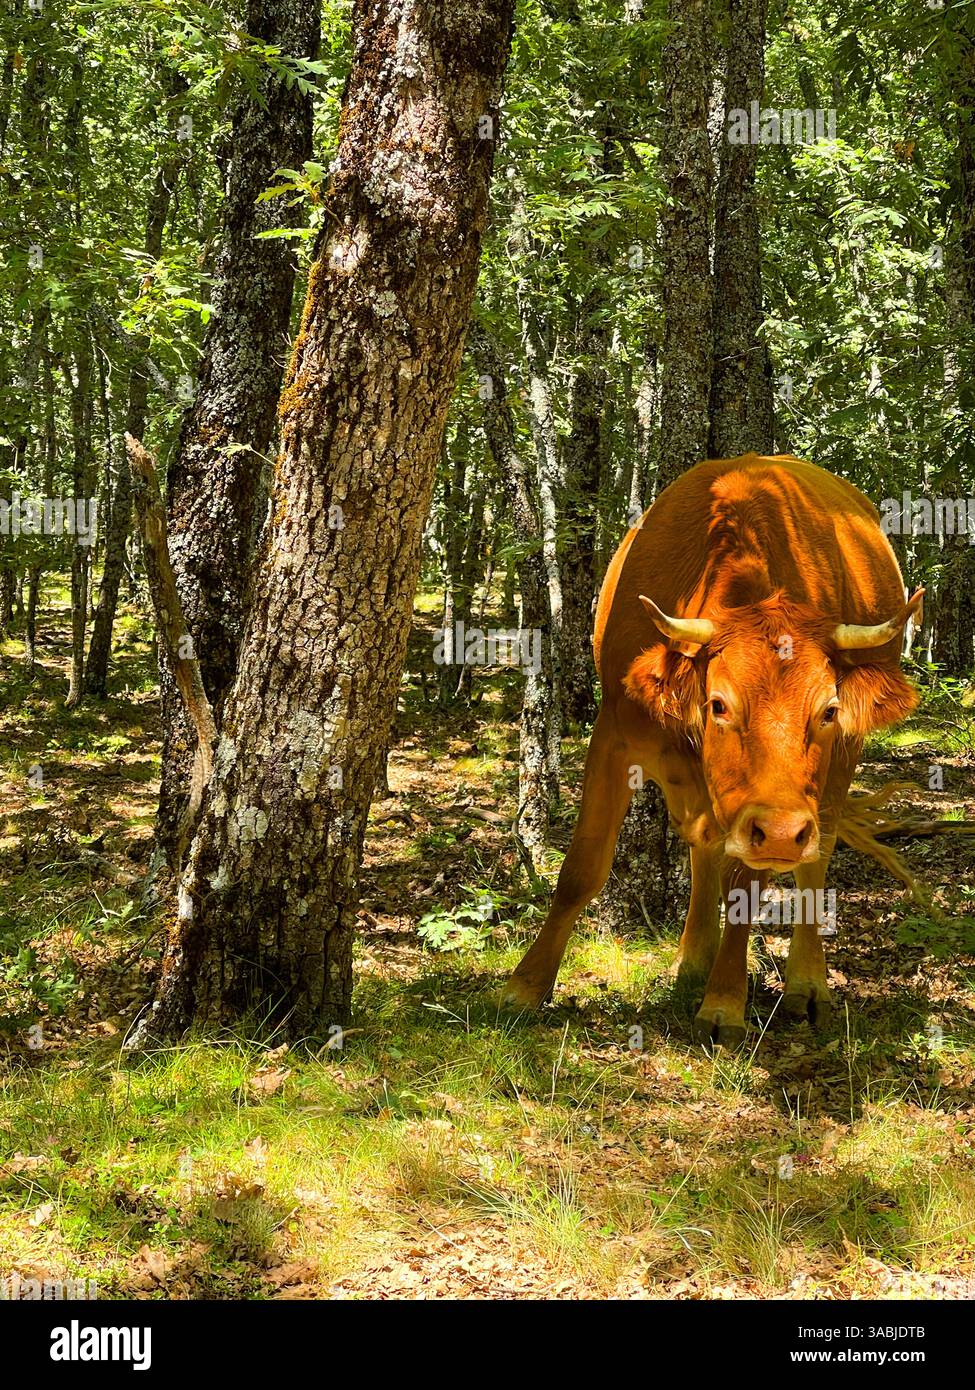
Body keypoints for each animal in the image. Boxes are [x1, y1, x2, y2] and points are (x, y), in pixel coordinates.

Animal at [502, 454, 923, 1046]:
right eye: (720, 704)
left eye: (829, 710)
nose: (782, 831)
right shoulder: (614, 737)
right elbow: (581, 869)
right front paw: (525, 986)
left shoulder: (774, 809)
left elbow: (746, 887)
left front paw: (724, 1002)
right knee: (703, 846)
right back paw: (692, 961)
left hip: (833, 775)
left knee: (816, 854)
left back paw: (805, 983)